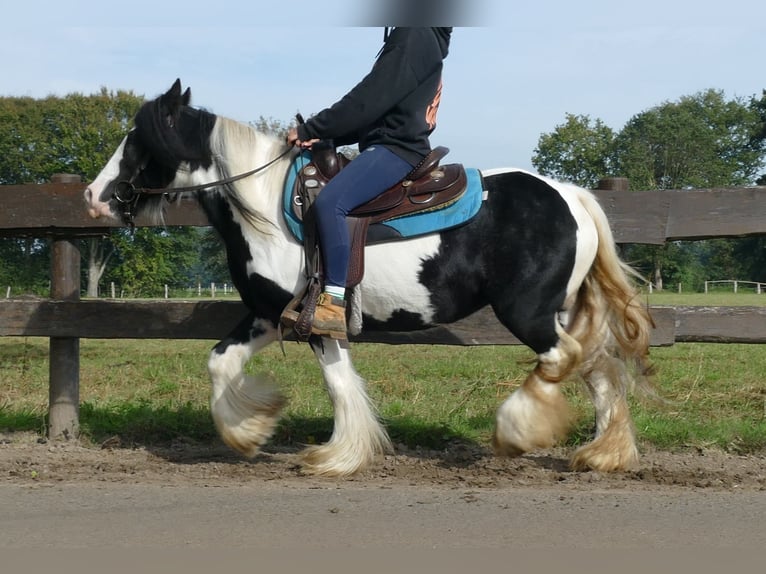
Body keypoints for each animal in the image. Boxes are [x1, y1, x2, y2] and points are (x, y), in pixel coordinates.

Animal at [87, 80, 656, 476]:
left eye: (137, 140)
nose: (94, 197)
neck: (266, 206)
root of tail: (571, 195)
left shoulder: (317, 322)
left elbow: (338, 386)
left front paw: (336, 457)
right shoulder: (272, 316)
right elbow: (221, 362)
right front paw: (249, 431)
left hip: (528, 312)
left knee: (563, 360)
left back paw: (517, 432)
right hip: (559, 310)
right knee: (599, 369)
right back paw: (604, 455)